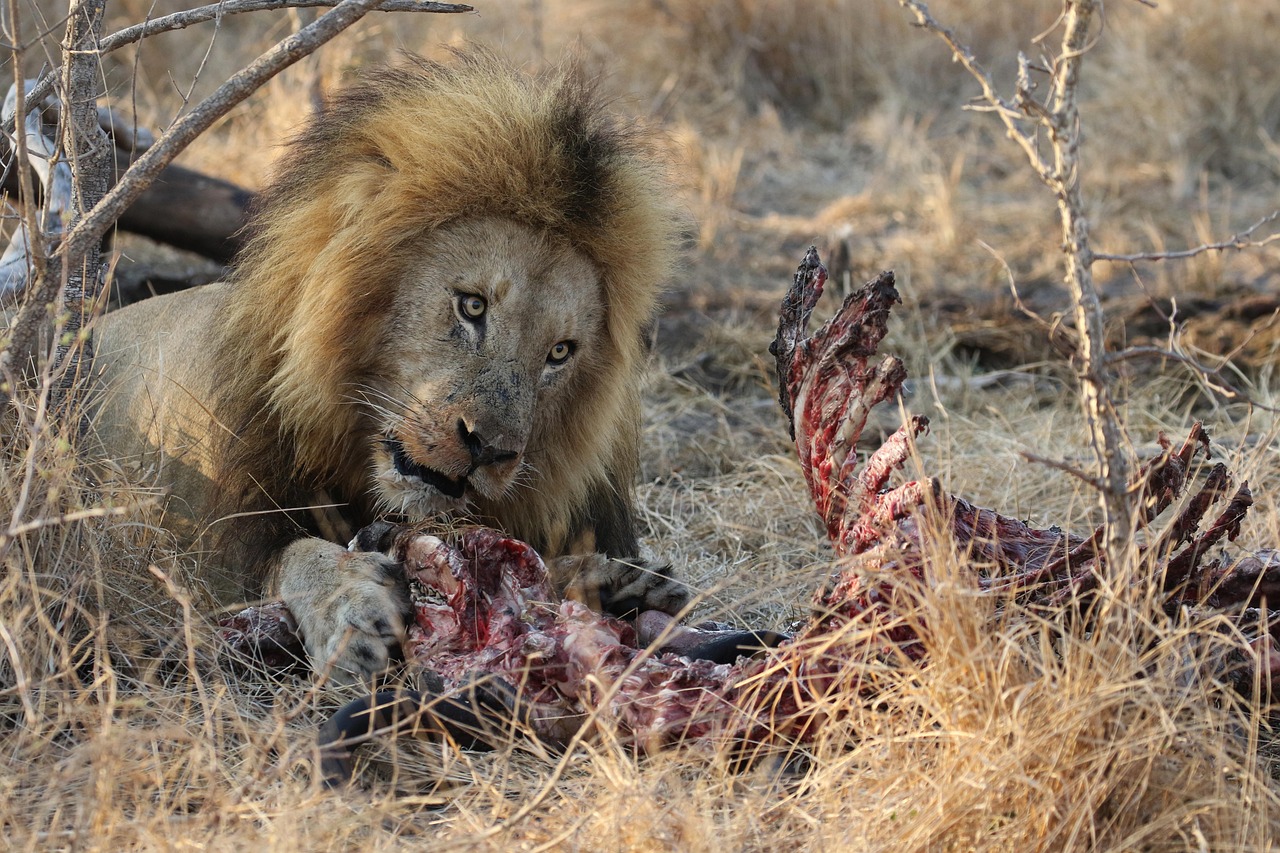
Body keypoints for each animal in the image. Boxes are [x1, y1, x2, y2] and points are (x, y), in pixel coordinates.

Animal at [87, 49, 691, 681]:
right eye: (472, 305)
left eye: (559, 352)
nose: (489, 451)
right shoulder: (202, 558)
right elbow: (294, 553)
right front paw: (352, 609)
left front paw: (609, 578)